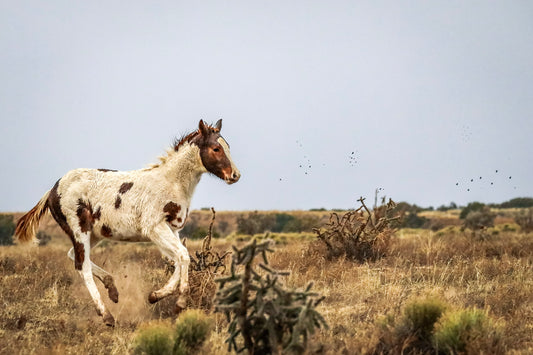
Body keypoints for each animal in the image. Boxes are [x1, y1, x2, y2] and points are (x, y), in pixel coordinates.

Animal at [13, 120, 240, 328]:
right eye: (216, 148)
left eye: (228, 146)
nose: (235, 175)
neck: (170, 182)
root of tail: (53, 188)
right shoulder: (155, 228)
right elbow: (183, 256)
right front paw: (180, 302)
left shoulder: (172, 229)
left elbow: (178, 258)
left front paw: (155, 295)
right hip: (80, 230)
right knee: (82, 266)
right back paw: (106, 316)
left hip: (94, 234)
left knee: (74, 257)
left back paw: (112, 288)